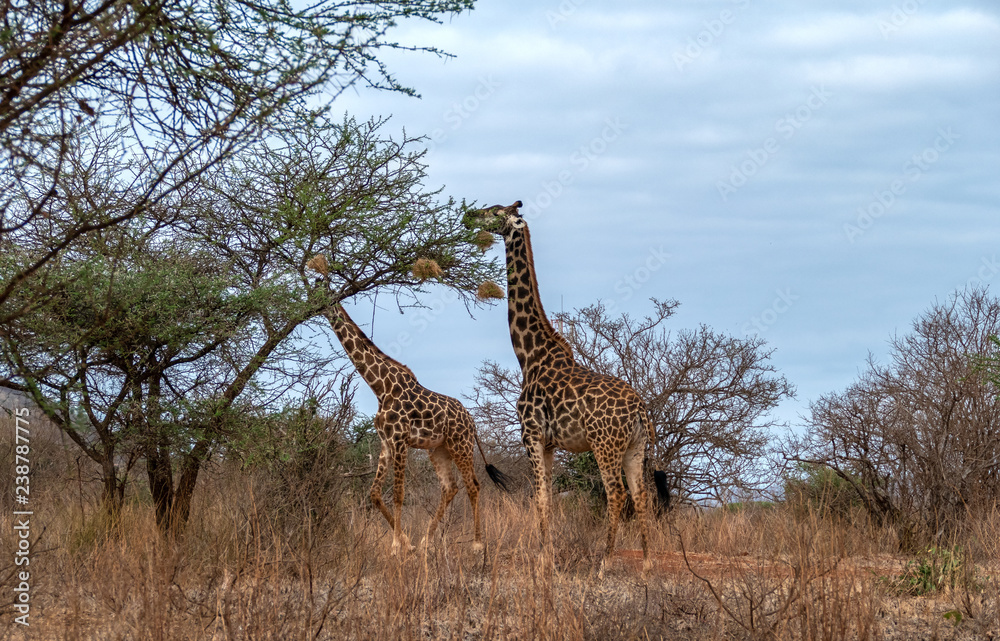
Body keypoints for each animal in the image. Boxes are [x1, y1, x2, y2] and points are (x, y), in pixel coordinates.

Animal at [323, 302, 509, 555]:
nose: (315, 306)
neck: (381, 387)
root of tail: (472, 421)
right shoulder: (386, 442)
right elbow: (375, 493)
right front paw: (407, 543)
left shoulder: (400, 440)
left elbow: (398, 493)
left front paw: (395, 546)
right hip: (438, 450)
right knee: (450, 487)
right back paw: (425, 542)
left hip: (460, 445)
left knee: (473, 485)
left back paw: (477, 543)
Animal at [464, 201, 654, 577]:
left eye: (494, 211)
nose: (469, 216)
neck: (529, 355)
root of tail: (640, 409)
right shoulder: (551, 443)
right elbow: (548, 498)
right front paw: (547, 555)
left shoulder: (531, 434)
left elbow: (539, 497)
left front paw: (544, 560)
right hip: (634, 447)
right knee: (640, 494)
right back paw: (647, 563)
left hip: (605, 445)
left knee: (616, 494)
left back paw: (604, 563)